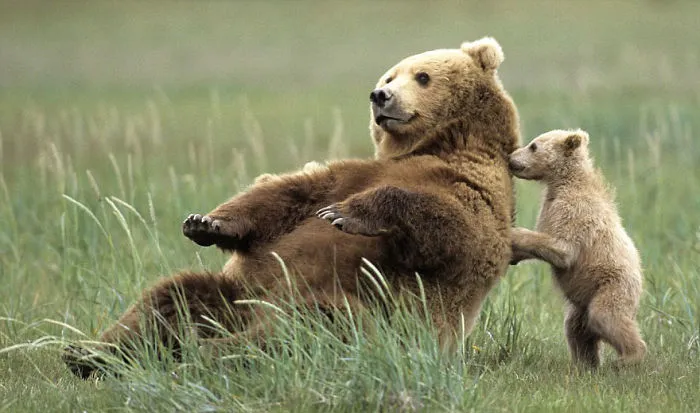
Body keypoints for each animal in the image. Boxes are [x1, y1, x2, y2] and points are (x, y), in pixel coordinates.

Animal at [64, 37, 521, 378]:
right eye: (390, 75)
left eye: (422, 76)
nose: (381, 95)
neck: (437, 144)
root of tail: (247, 314)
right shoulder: (349, 173)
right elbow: (288, 195)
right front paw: (205, 222)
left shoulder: (474, 189)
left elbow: (454, 227)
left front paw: (344, 215)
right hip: (239, 293)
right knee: (171, 297)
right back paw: (91, 354)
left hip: (355, 308)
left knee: (296, 329)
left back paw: (204, 353)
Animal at [509, 129, 646, 368]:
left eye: (533, 146)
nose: (510, 159)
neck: (563, 183)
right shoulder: (550, 207)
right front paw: (514, 255)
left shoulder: (576, 212)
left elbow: (563, 248)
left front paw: (514, 233)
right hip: (581, 304)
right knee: (576, 330)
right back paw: (585, 365)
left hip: (612, 286)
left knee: (607, 317)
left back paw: (628, 358)